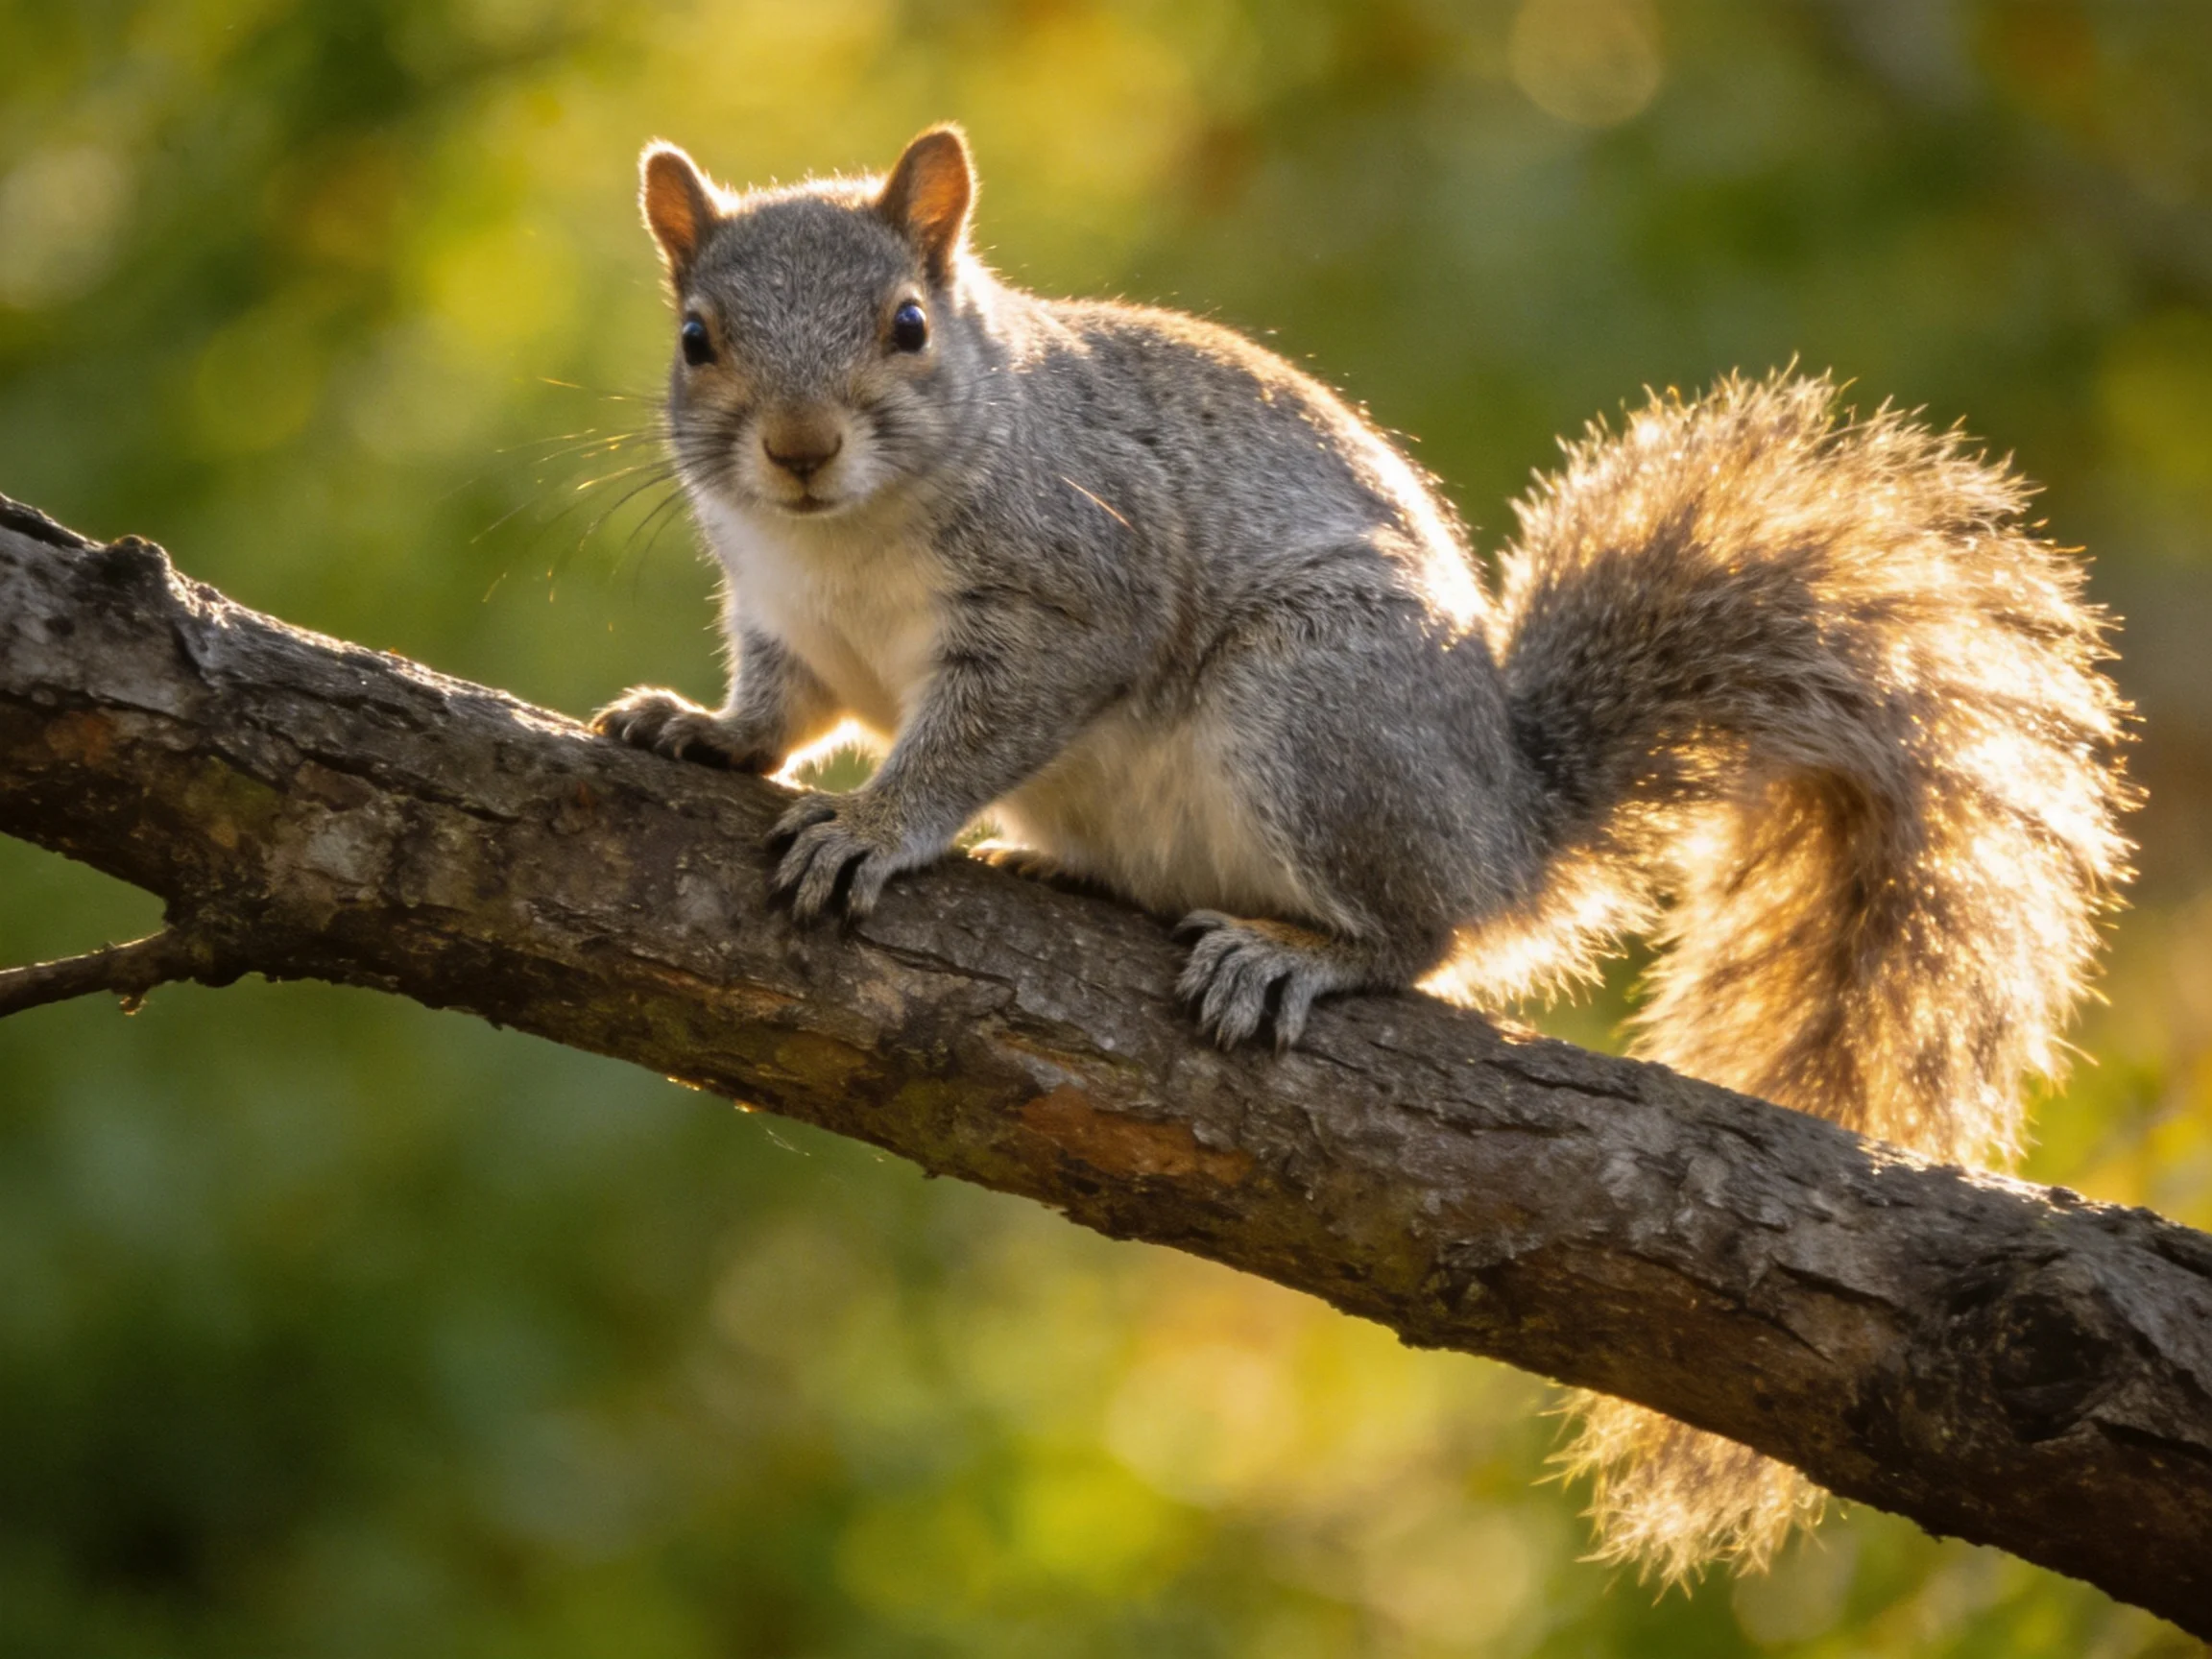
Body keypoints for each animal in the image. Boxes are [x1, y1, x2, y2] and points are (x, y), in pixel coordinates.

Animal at [592, 124, 2133, 1578]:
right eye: (696, 337)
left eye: (907, 324)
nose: (798, 448)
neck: (843, 542)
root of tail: (1506, 826)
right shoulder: (791, 624)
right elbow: (783, 709)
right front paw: (699, 728)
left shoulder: (1073, 593)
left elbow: (971, 736)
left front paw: (875, 825)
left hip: (1314, 711)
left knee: (1422, 937)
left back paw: (1296, 953)